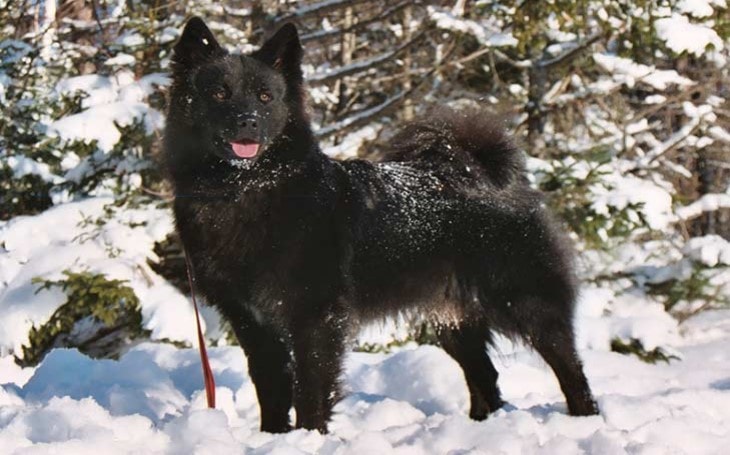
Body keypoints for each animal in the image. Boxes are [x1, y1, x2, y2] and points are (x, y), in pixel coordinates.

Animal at [164, 17, 596, 434]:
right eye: (219, 94)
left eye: (265, 97)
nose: (248, 122)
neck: (242, 189)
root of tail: (494, 180)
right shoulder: (250, 320)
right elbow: (270, 386)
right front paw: (270, 439)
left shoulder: (315, 316)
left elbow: (310, 389)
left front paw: (308, 438)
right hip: (454, 319)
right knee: (485, 378)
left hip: (528, 305)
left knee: (572, 372)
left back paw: (583, 420)